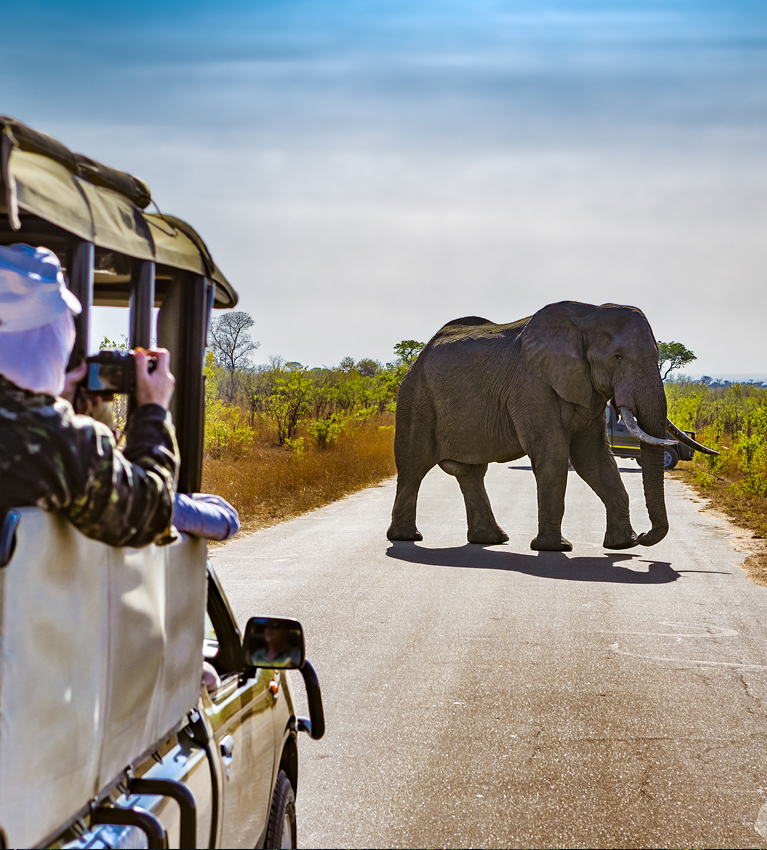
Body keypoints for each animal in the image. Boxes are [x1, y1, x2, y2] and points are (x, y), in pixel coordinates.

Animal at [388, 302, 716, 552]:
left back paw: (492, 540)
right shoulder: (531, 386)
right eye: (618, 357)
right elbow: (554, 454)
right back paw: (407, 538)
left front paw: (623, 545)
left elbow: (594, 458)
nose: (648, 537)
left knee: (471, 473)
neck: (587, 317)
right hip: (416, 399)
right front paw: (555, 548)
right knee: (414, 465)